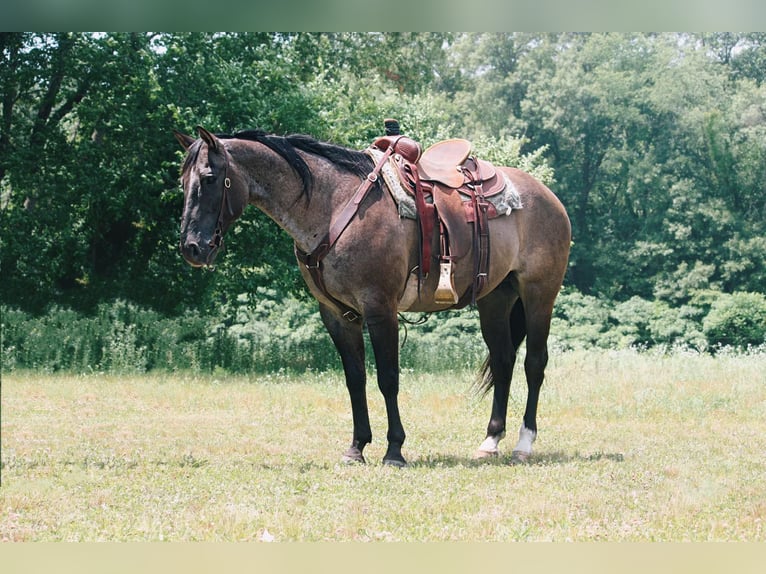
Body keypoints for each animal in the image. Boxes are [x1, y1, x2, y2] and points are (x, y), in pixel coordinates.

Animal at [174, 126, 568, 468]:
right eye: (183, 181)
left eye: (209, 178)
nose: (192, 247)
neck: (333, 205)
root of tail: (548, 196)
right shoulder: (337, 315)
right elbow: (355, 379)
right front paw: (357, 447)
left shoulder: (380, 309)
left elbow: (388, 378)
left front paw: (394, 450)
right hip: (495, 300)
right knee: (503, 361)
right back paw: (490, 441)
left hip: (539, 295)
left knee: (534, 364)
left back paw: (523, 443)